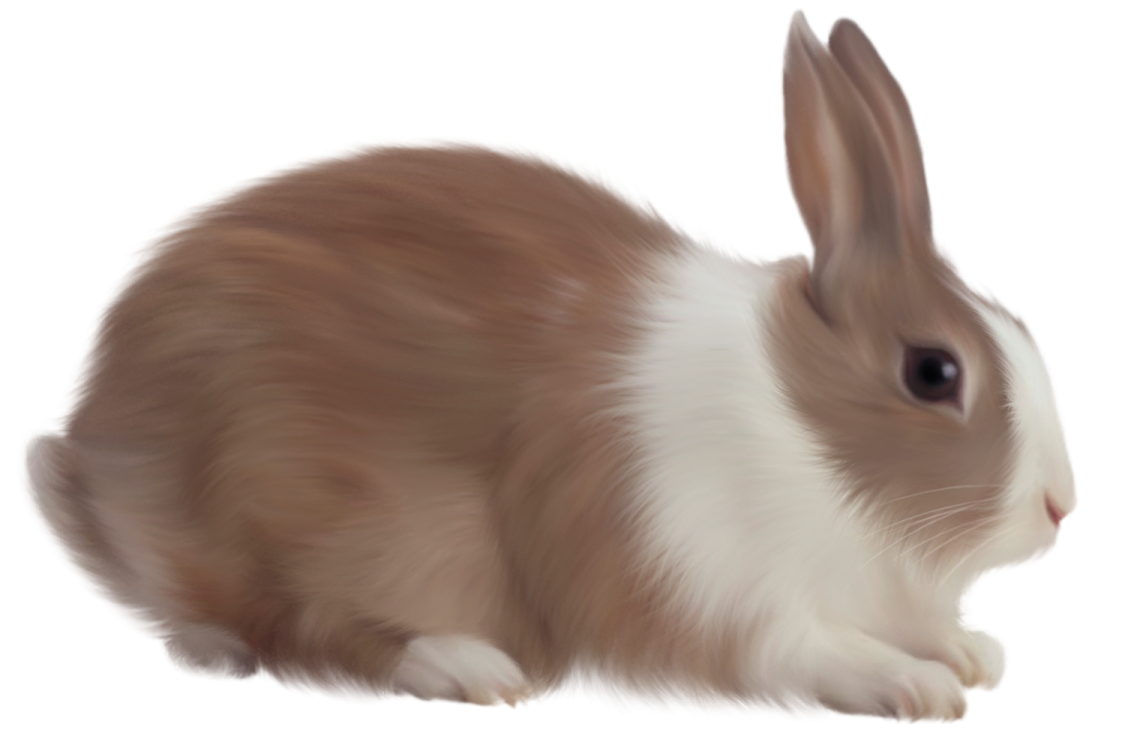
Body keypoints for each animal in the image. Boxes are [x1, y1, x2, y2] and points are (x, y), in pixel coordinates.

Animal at [15, 7, 1076, 724]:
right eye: (933, 373)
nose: (1059, 507)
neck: (801, 424)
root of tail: (86, 458)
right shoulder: (696, 597)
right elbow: (803, 650)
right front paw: (916, 684)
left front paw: (977, 653)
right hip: (289, 495)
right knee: (301, 639)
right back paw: (467, 670)